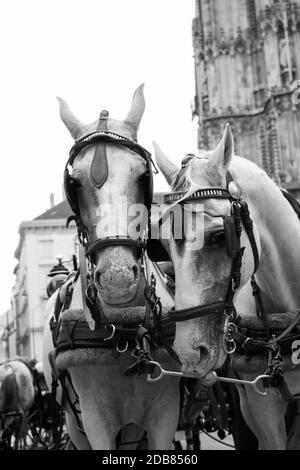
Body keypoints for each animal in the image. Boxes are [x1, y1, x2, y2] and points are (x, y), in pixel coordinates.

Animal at [42, 86, 178, 450]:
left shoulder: (165, 415)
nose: (118, 280)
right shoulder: (95, 420)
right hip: (75, 424)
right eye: (74, 183)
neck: (126, 332)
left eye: (143, 175)